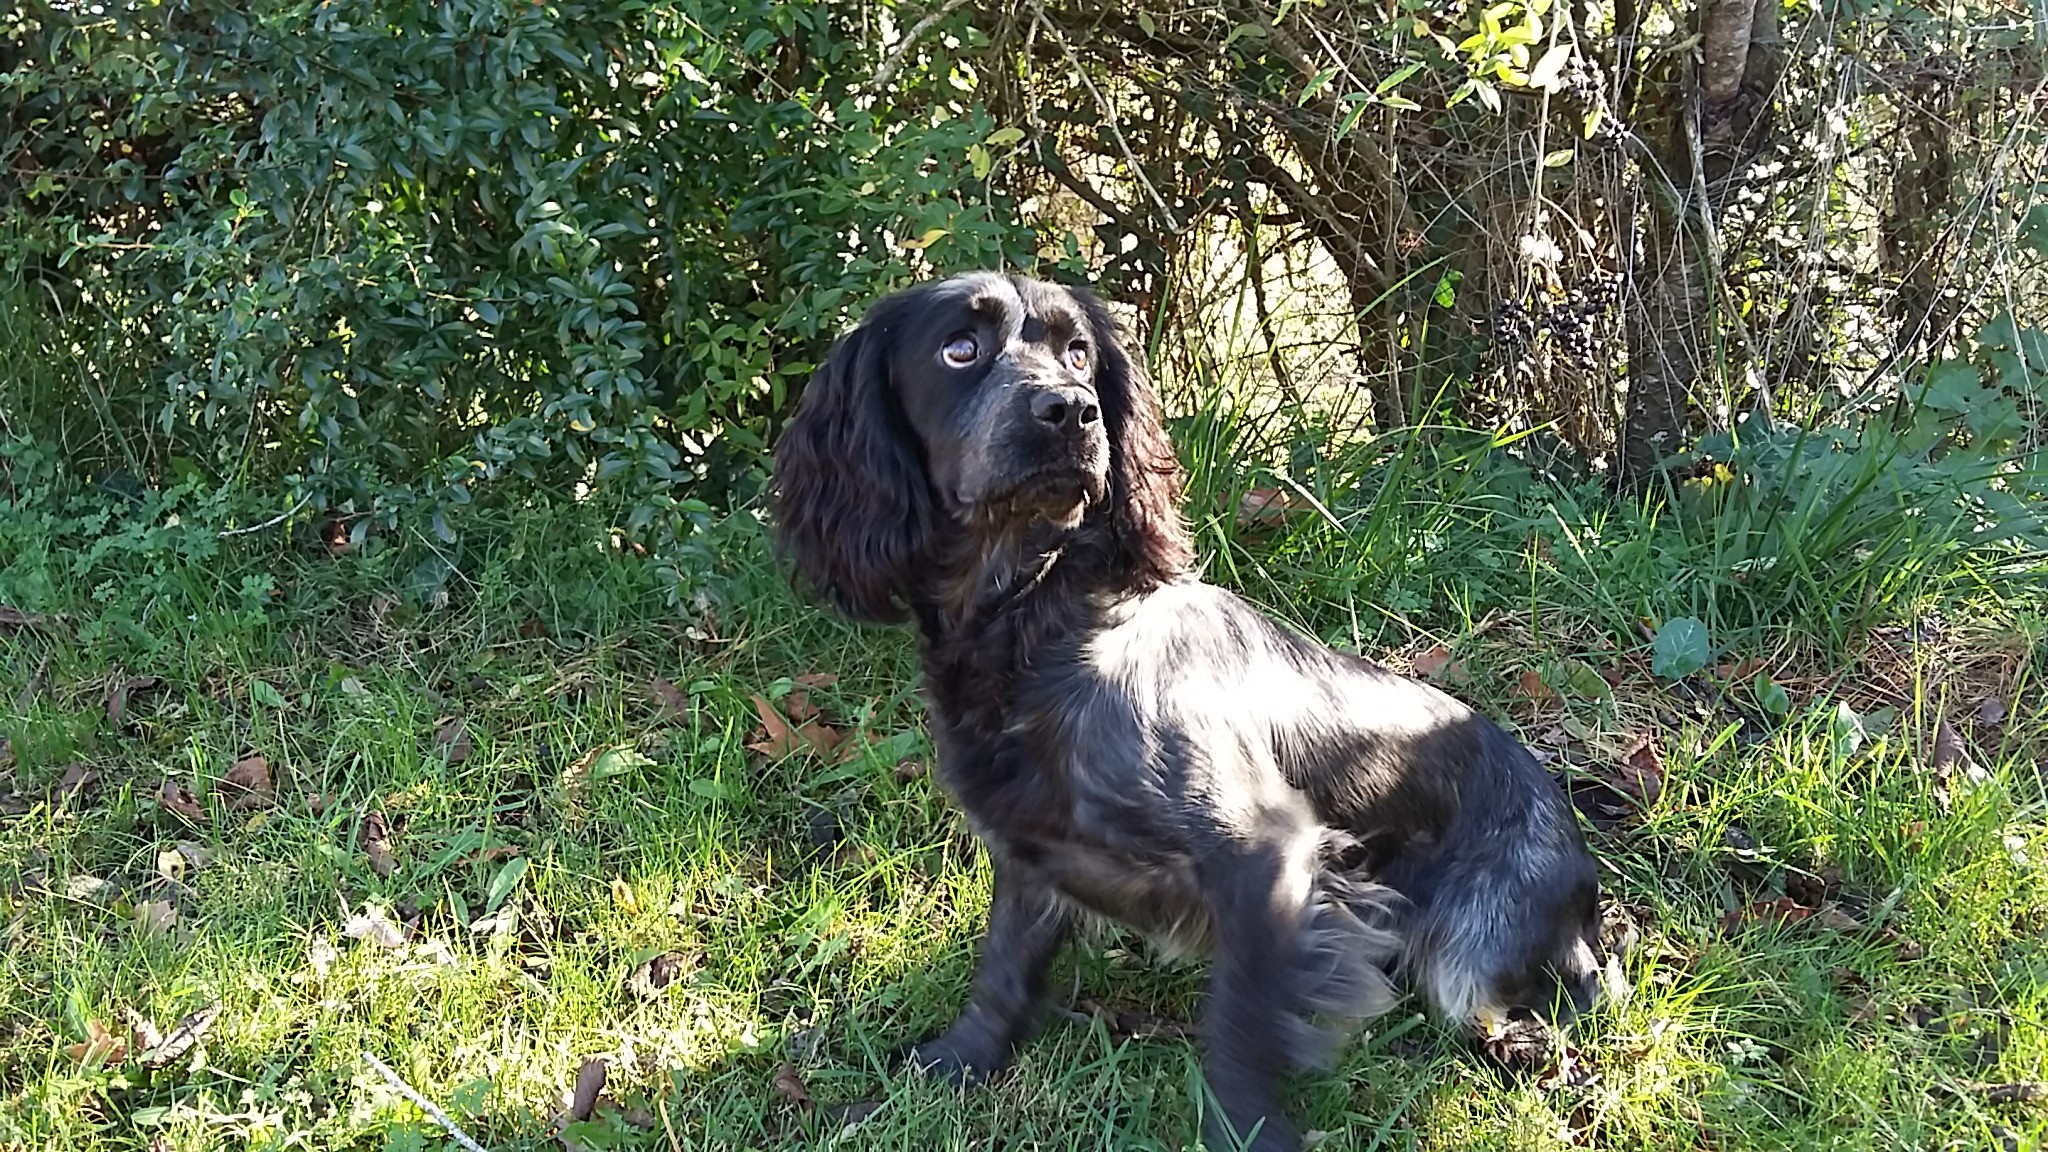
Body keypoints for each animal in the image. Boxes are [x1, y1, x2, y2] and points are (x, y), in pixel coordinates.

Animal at [770, 270, 1613, 1147]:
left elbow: (1237, 1028)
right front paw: (944, 1072)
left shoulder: (1269, 855)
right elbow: (999, 978)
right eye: (959, 349)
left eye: (1079, 352)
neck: (1040, 618)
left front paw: (1250, 1130)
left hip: (1468, 949)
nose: (1073, 410)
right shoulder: (1031, 856)